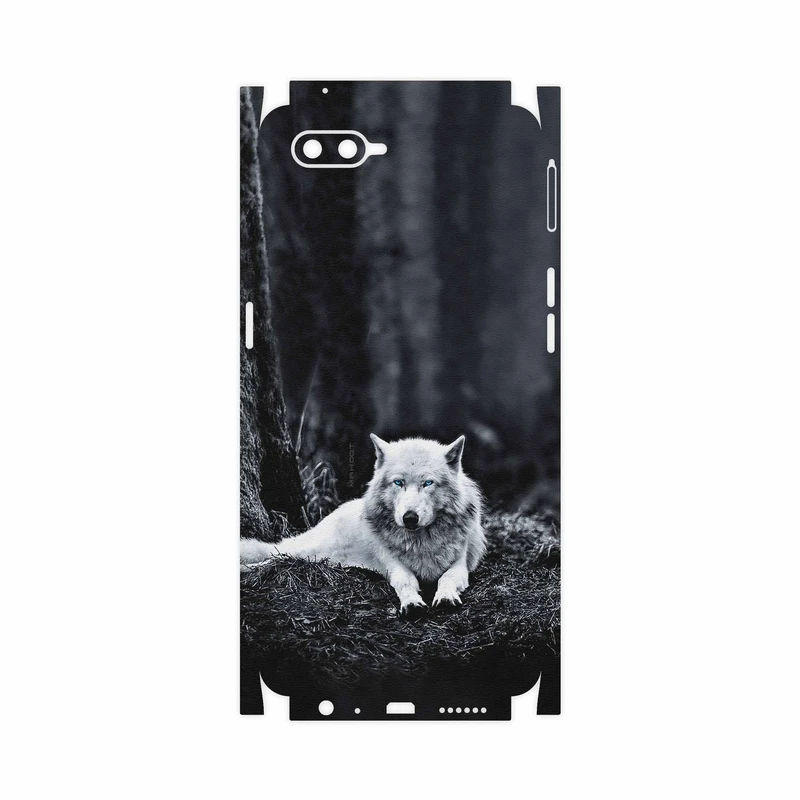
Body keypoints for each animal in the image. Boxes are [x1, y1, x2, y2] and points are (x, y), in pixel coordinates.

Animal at [240, 434, 486, 618]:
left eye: (428, 483)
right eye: (398, 482)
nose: (409, 518)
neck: (420, 542)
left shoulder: (460, 564)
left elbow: (447, 578)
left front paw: (445, 597)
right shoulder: (393, 565)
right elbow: (405, 581)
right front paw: (411, 603)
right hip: (308, 551)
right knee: (276, 556)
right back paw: (248, 568)